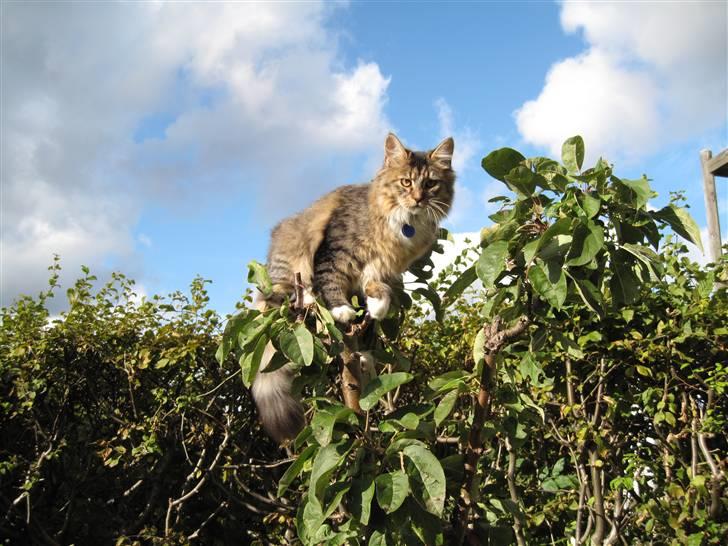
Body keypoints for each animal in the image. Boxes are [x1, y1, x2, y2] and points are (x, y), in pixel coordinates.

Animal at [253, 133, 452, 442]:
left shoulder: (380, 269)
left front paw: (378, 307)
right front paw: (342, 310)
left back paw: (364, 357)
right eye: (406, 182)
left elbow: (379, 290)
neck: (406, 225)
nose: (418, 199)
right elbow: (330, 281)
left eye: (430, 183)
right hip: (287, 277)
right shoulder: (334, 253)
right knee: (290, 299)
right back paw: (309, 300)